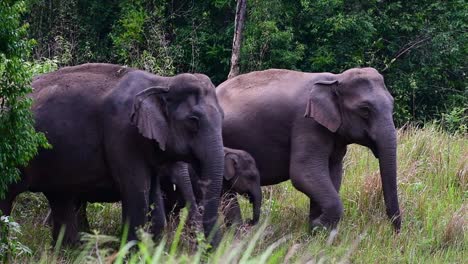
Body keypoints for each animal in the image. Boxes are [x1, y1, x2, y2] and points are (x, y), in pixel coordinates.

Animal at [0, 63, 225, 244]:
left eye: (222, 117)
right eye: (193, 121)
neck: (161, 82)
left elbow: (154, 204)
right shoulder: (122, 134)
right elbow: (136, 198)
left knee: (60, 198)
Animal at [218, 67, 400, 231]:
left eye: (392, 104)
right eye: (365, 110)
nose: (395, 232)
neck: (335, 79)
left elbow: (332, 174)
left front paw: (315, 231)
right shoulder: (307, 123)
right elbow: (304, 173)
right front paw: (318, 226)